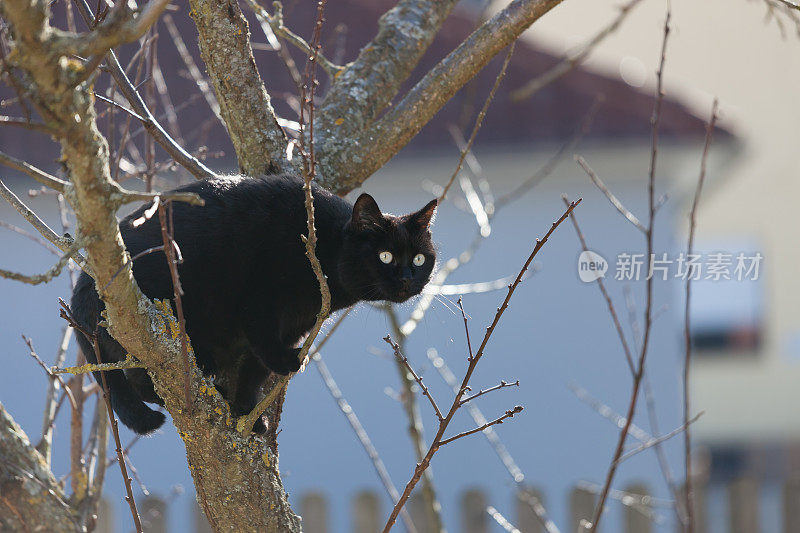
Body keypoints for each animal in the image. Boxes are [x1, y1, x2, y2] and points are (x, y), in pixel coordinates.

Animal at [72, 175, 438, 432]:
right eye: (385, 256)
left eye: (420, 259)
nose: (407, 278)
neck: (325, 245)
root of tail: (81, 287)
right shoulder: (260, 297)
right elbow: (262, 343)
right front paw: (284, 365)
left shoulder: (298, 323)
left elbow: (255, 371)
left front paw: (248, 412)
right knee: (144, 376)